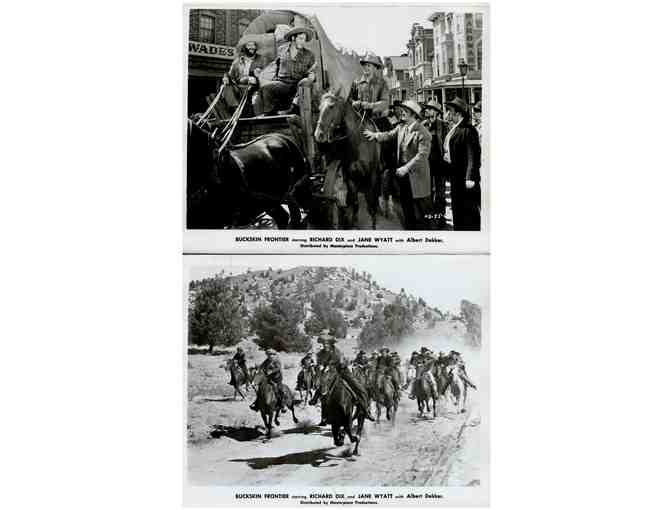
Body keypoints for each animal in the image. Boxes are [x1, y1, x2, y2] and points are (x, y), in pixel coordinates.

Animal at [314, 91, 386, 229]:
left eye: (331, 106)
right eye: (319, 108)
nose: (318, 135)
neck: (359, 143)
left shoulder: (373, 175)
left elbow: (372, 201)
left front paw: (374, 223)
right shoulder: (350, 177)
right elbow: (355, 202)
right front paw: (355, 223)